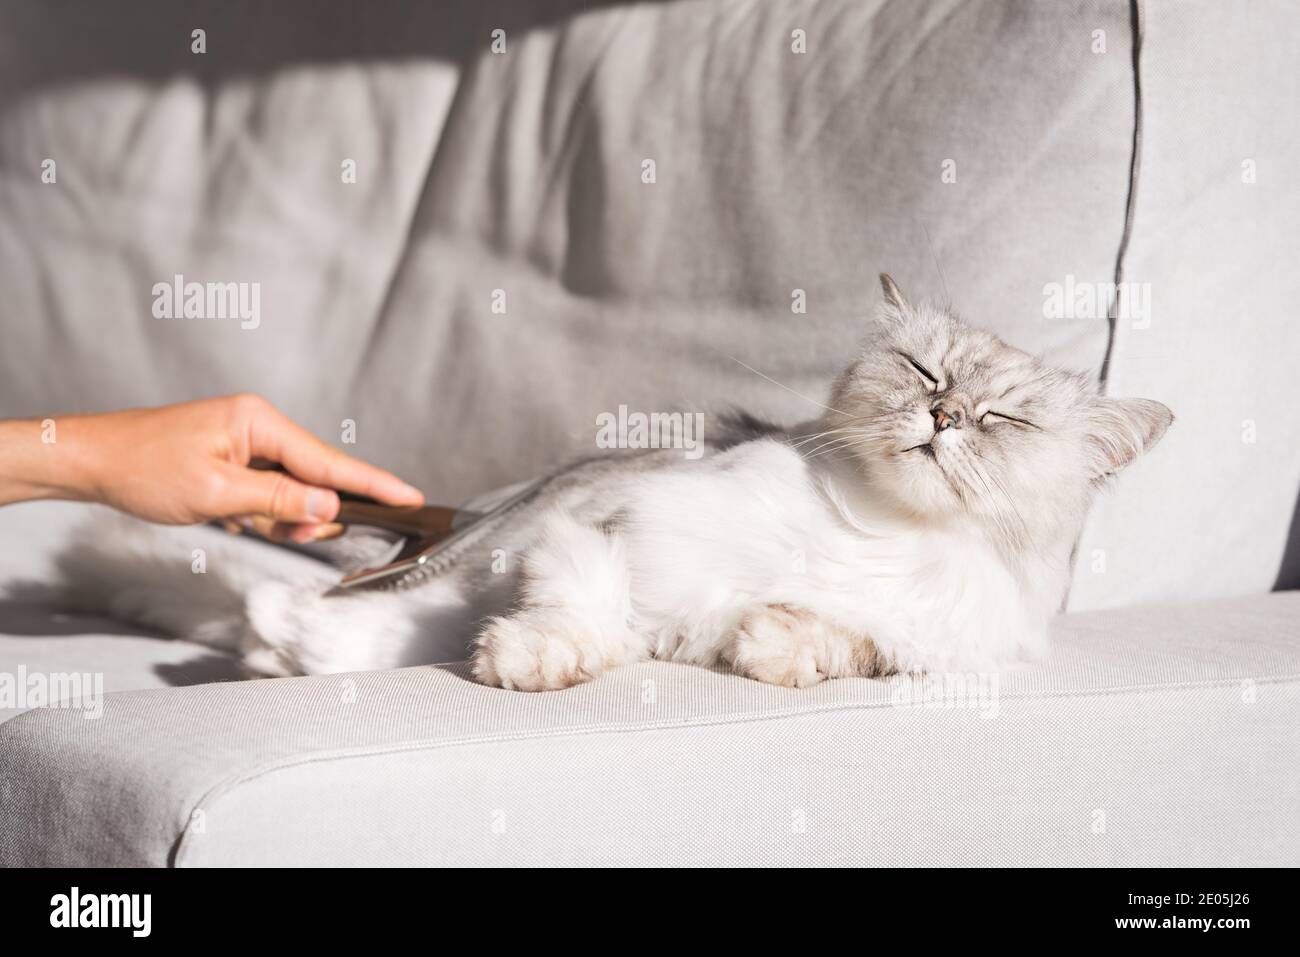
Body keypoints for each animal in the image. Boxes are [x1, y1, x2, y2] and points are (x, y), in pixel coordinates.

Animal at [45, 276, 1175, 686]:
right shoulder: (599, 532)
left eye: (1003, 418)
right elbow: (585, 613)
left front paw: (772, 643)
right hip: (467, 554)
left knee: (315, 633)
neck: (880, 535)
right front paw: (533, 663)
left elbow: (832, 642)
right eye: (926, 378)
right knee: (325, 617)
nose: (942, 421)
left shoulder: (925, 643)